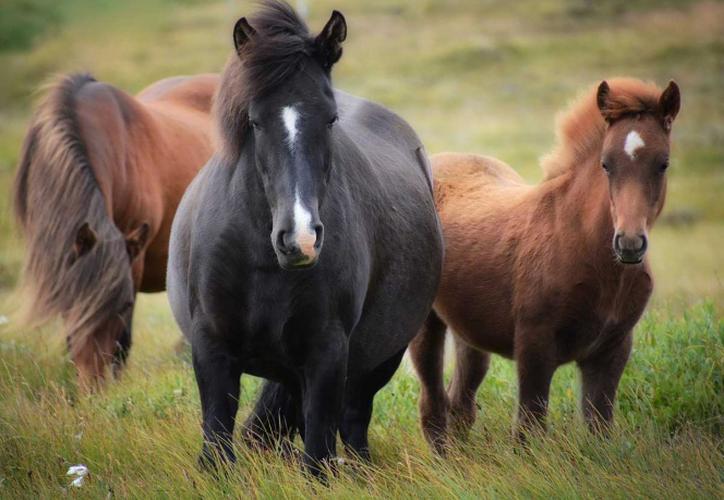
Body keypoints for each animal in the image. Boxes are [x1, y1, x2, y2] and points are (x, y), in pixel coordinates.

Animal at [167, 0, 444, 476]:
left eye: (330, 119)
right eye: (255, 121)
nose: (300, 239)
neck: (260, 260)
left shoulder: (327, 353)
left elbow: (317, 455)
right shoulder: (211, 348)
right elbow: (217, 444)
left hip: (379, 359)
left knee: (353, 422)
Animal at [410, 79, 680, 454]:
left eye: (663, 163)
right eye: (606, 164)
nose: (629, 244)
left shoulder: (612, 349)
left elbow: (599, 426)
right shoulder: (534, 344)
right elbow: (529, 427)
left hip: (469, 330)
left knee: (460, 402)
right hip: (425, 323)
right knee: (433, 403)